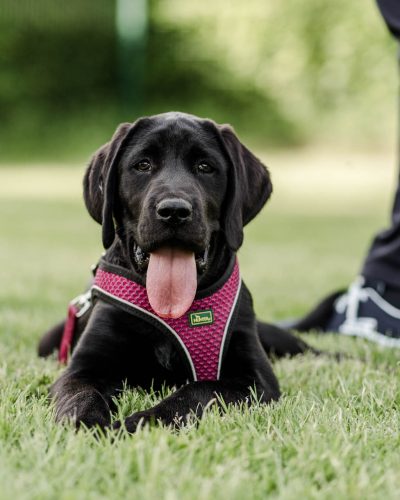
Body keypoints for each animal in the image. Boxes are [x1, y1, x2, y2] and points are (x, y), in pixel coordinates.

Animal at [39, 111, 318, 432]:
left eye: (205, 167)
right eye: (143, 165)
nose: (174, 211)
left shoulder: (255, 377)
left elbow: (197, 391)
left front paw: (140, 422)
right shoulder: (83, 368)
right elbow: (80, 396)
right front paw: (87, 426)